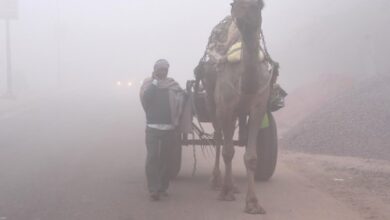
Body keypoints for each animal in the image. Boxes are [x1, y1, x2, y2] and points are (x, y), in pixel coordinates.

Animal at [198, 0, 272, 214]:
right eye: (233, 4)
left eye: (259, 5)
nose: (239, 18)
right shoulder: (225, 106)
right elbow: (228, 151)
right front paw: (225, 192)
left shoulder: (258, 107)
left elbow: (251, 157)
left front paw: (253, 203)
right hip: (212, 101)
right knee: (219, 138)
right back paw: (218, 181)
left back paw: (234, 186)